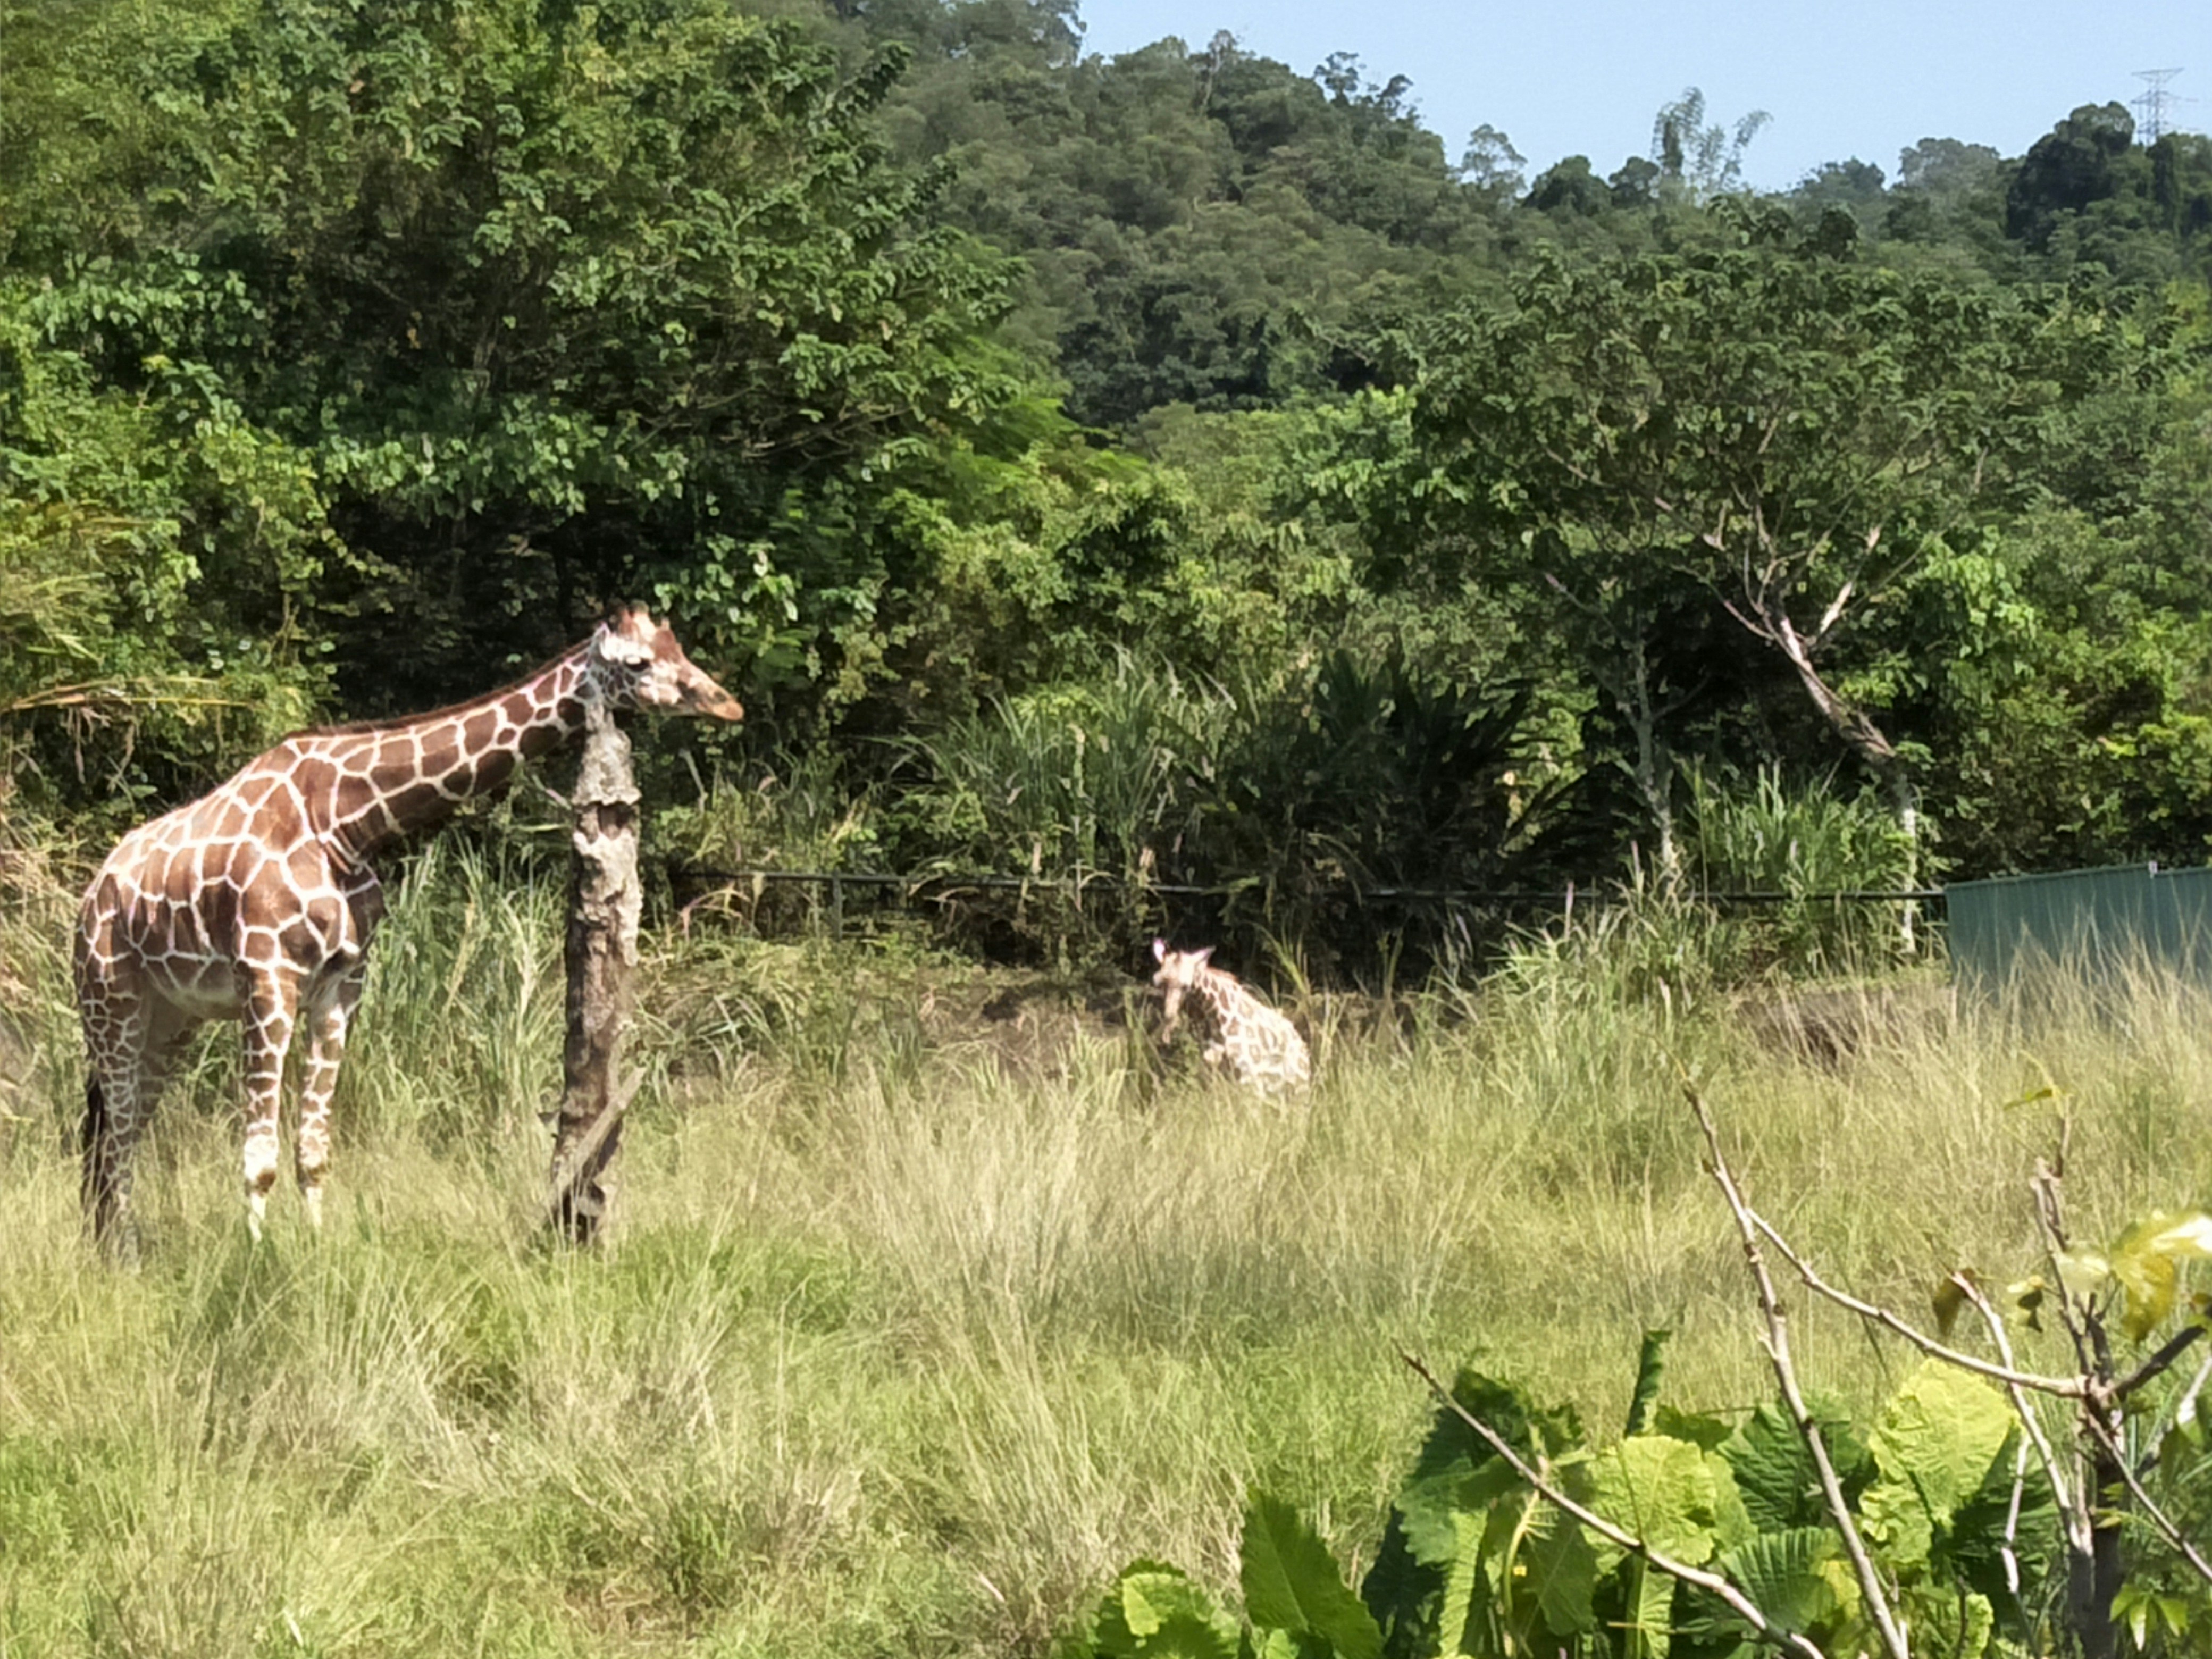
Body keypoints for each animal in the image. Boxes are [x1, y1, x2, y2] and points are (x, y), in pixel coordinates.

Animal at [73, 605, 741, 1254]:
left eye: (680, 649)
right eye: (637, 662)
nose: (724, 702)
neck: (347, 824)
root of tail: (90, 897)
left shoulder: (343, 982)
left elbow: (314, 1150)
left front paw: (315, 1253)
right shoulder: (268, 977)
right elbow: (258, 1157)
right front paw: (256, 1259)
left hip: (171, 1019)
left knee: (118, 1129)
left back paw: (111, 1244)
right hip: (111, 1000)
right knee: (116, 1133)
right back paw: (123, 1255)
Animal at [1149, 939, 1311, 1096]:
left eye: (1186, 986)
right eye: (1159, 983)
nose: (1169, 1017)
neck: (1219, 1020)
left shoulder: (1249, 1073)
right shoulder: (1217, 1068)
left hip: (1294, 1085)